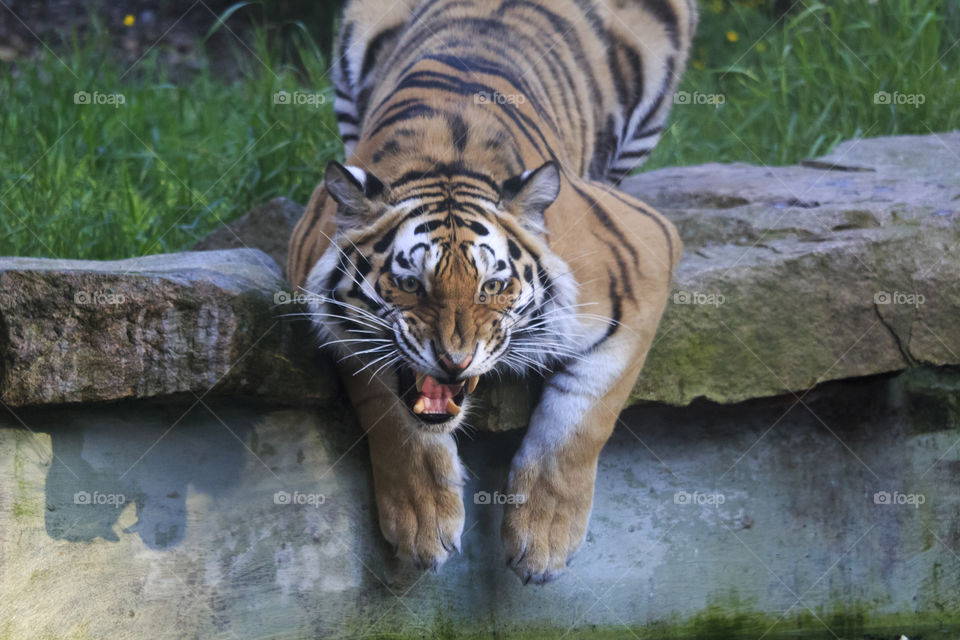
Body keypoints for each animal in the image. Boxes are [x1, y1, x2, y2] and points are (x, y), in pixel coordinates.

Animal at [288, 0, 696, 584]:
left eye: (493, 286)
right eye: (409, 284)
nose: (454, 362)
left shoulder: (643, 261)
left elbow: (583, 416)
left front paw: (544, 539)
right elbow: (389, 408)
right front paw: (423, 522)